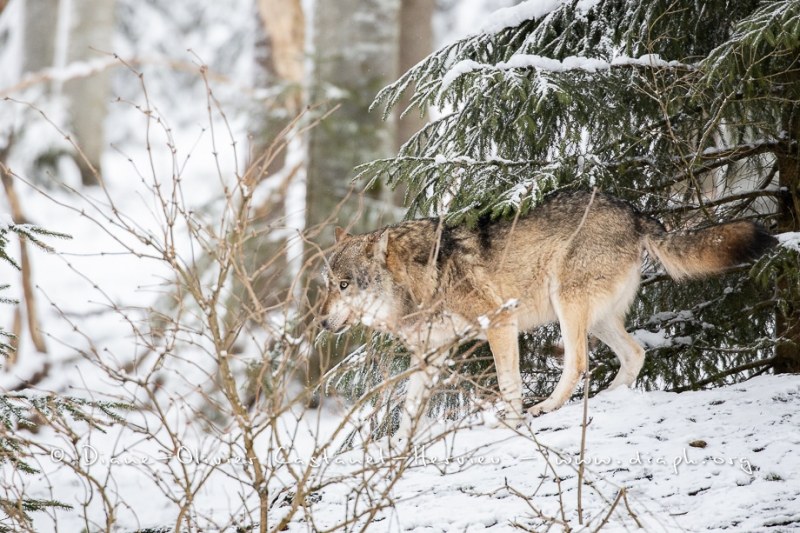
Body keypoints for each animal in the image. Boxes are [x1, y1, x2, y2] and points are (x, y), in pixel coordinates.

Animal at [318, 190, 776, 436]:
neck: (420, 278)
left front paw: (512, 419)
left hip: (566, 305)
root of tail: (634, 212)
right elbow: (409, 412)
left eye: (343, 285)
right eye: (325, 284)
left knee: (579, 363)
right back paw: (610, 398)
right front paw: (394, 451)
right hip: (596, 317)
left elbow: (509, 385)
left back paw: (548, 407)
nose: (321, 321)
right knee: (635, 354)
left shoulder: (500, 323)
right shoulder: (429, 356)